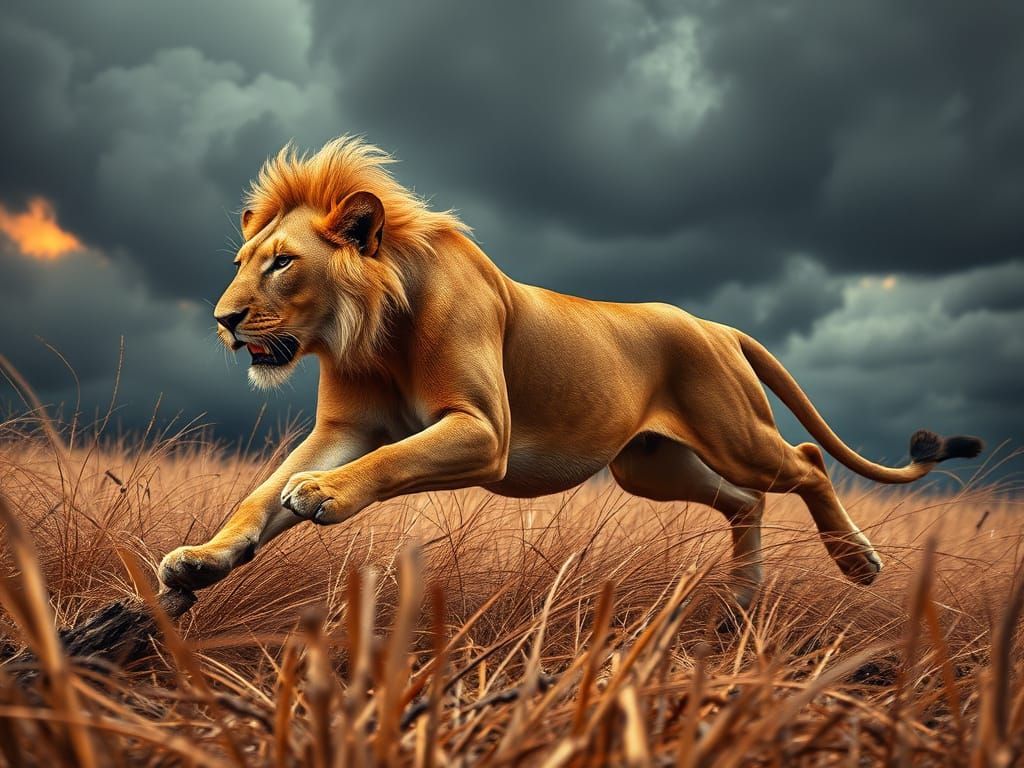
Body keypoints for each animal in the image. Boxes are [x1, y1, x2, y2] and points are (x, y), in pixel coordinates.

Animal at [159, 136, 983, 612]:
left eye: (282, 263)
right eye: (242, 262)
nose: (223, 319)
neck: (370, 332)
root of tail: (716, 326)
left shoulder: (483, 430)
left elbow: (388, 462)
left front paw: (323, 495)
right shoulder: (342, 427)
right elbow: (260, 494)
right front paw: (202, 561)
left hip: (731, 434)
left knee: (807, 461)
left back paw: (857, 562)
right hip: (651, 467)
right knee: (746, 502)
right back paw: (740, 600)